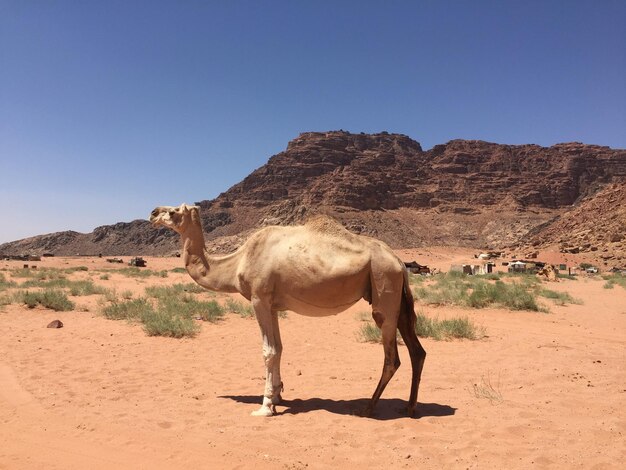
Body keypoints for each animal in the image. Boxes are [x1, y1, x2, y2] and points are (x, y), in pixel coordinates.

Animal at [149, 204, 426, 416]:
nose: (153, 212)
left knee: (392, 356)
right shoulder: (271, 304)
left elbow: (268, 351)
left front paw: (265, 407)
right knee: (417, 351)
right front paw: (277, 396)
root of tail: (399, 261)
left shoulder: (259, 298)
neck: (237, 261)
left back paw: (368, 407)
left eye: (174, 211)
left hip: (384, 284)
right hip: (398, 298)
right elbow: (279, 348)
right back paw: (410, 408)